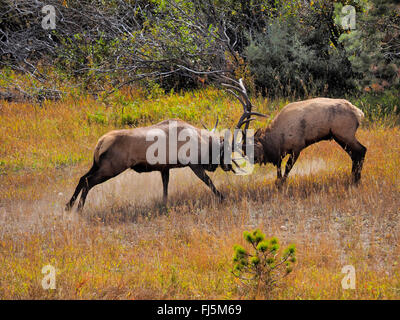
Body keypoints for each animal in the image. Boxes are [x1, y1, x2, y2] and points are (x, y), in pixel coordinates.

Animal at [64, 118, 233, 212]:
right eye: (224, 150)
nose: (229, 167)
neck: (200, 142)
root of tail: (100, 143)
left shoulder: (165, 168)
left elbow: (165, 187)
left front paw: (164, 205)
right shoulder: (194, 164)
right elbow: (209, 182)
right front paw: (222, 197)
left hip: (97, 165)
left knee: (82, 178)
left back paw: (68, 206)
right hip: (111, 168)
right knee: (88, 181)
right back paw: (78, 209)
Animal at [223, 77, 368, 185]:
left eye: (251, 149)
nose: (253, 160)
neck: (277, 139)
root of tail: (359, 113)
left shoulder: (298, 147)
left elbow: (287, 168)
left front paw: (282, 184)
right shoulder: (281, 153)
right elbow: (279, 168)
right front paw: (278, 182)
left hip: (344, 133)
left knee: (361, 150)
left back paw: (356, 179)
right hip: (340, 136)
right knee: (354, 154)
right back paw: (353, 177)